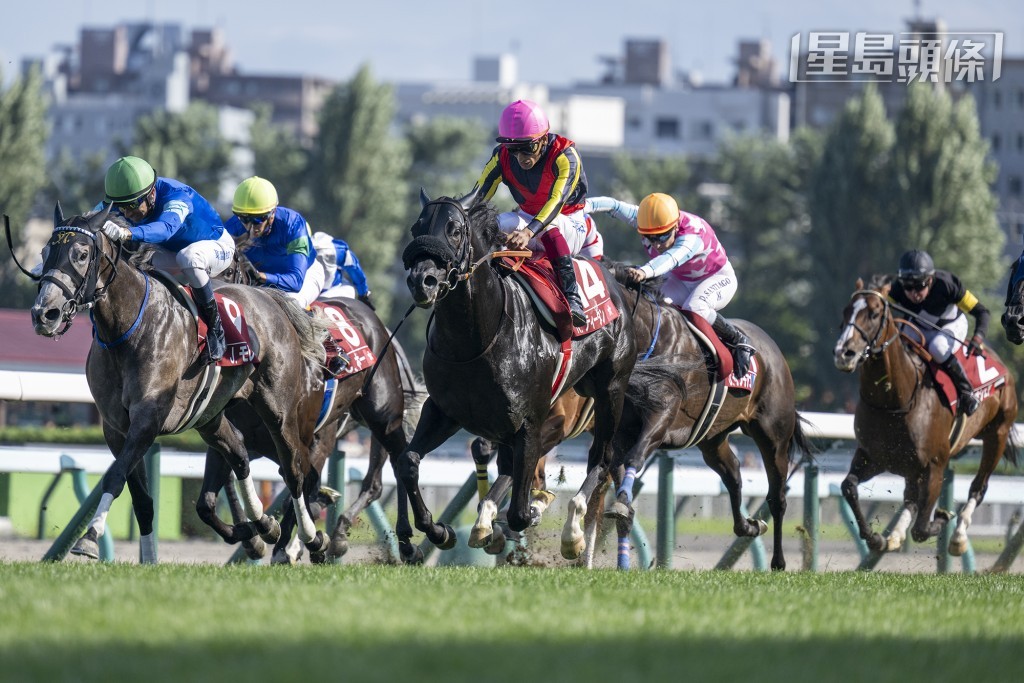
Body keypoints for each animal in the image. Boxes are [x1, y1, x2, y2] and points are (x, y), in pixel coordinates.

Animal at [29, 206, 327, 561]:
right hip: (210, 417)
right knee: (239, 455)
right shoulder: (116, 428)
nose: (44, 313)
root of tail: (268, 297)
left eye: (81, 253)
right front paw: (147, 559)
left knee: (294, 469)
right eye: (44, 253)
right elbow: (142, 500)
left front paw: (89, 538)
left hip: (278, 411)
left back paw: (310, 539)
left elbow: (114, 477)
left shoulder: (147, 420)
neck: (126, 329)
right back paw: (262, 527)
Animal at [397, 189, 630, 565]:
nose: (423, 281)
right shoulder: (445, 410)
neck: (475, 339)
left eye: (455, 230)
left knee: (603, 458)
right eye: (416, 228)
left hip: (612, 392)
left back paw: (573, 534)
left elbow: (521, 511)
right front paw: (439, 530)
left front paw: (527, 513)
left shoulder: (531, 422)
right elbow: (407, 460)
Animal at [831, 274, 1015, 552]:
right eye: (846, 311)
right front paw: (874, 537)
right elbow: (849, 486)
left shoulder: (935, 466)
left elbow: (921, 529)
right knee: (910, 496)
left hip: (997, 434)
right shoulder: (873, 457)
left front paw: (943, 516)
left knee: (978, 487)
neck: (894, 401)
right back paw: (895, 535)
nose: (844, 353)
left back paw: (958, 536)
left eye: (874, 313)